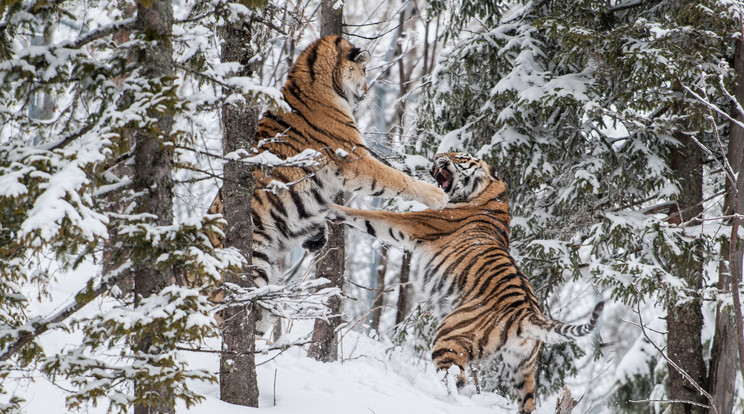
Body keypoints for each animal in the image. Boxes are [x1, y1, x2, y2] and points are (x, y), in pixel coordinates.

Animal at [205, 34, 448, 334]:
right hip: (254, 264)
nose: (366, 90)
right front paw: (436, 195)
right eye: (364, 70)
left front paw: (318, 234)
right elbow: (395, 177)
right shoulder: (355, 158)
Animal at [332, 153, 604, 414]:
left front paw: (333, 207)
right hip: (523, 367)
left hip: (449, 336)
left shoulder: (416, 222)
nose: (436, 157)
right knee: (526, 401)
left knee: (455, 379)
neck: (492, 196)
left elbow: (372, 216)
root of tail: (528, 313)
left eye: (459, 156)